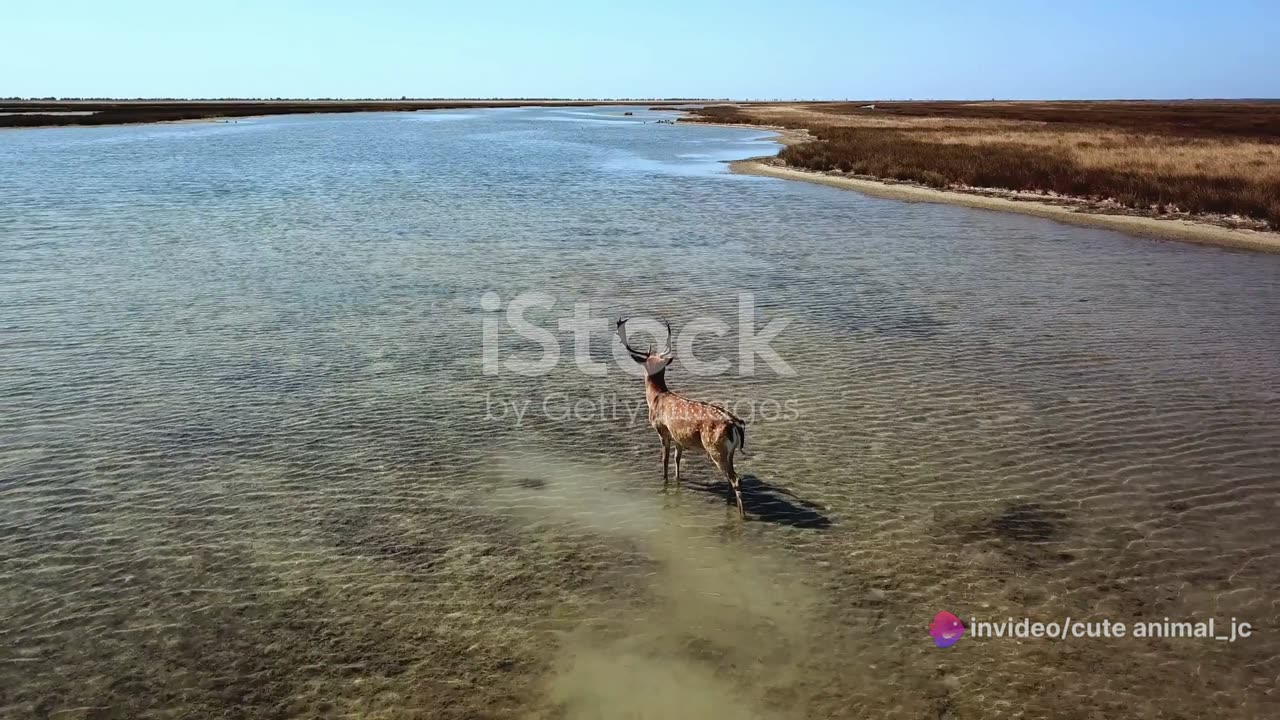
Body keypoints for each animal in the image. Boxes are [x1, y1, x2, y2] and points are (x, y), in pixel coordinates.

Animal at [611, 316, 747, 512]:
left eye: (645, 365)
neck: (656, 397)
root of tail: (735, 424)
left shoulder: (662, 430)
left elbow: (665, 459)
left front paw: (665, 480)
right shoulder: (679, 437)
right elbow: (677, 459)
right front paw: (677, 480)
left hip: (716, 448)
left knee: (736, 479)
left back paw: (740, 513)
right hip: (730, 452)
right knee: (731, 477)